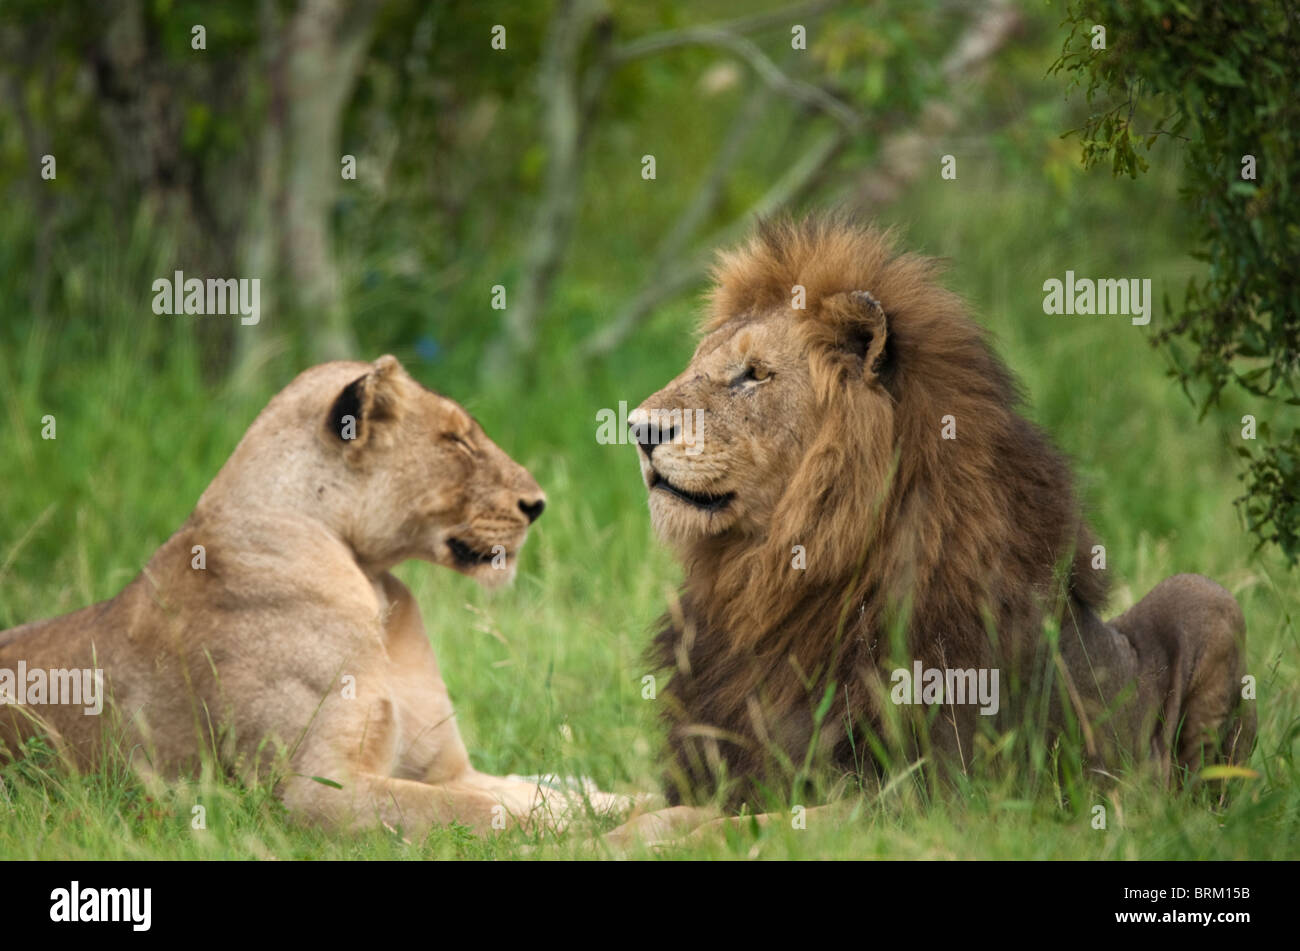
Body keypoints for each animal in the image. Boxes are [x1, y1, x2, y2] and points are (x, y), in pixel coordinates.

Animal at [1, 355, 618, 831]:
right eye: (457, 443)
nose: (537, 505)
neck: (372, 584)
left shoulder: (445, 768)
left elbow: (534, 791)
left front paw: (620, 803)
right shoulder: (311, 790)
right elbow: (481, 810)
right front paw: (580, 828)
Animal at [613, 216, 1253, 841]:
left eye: (753, 375)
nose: (638, 428)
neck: (770, 582)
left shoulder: (923, 795)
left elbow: (737, 828)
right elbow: (658, 809)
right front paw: (597, 825)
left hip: (1207, 601)